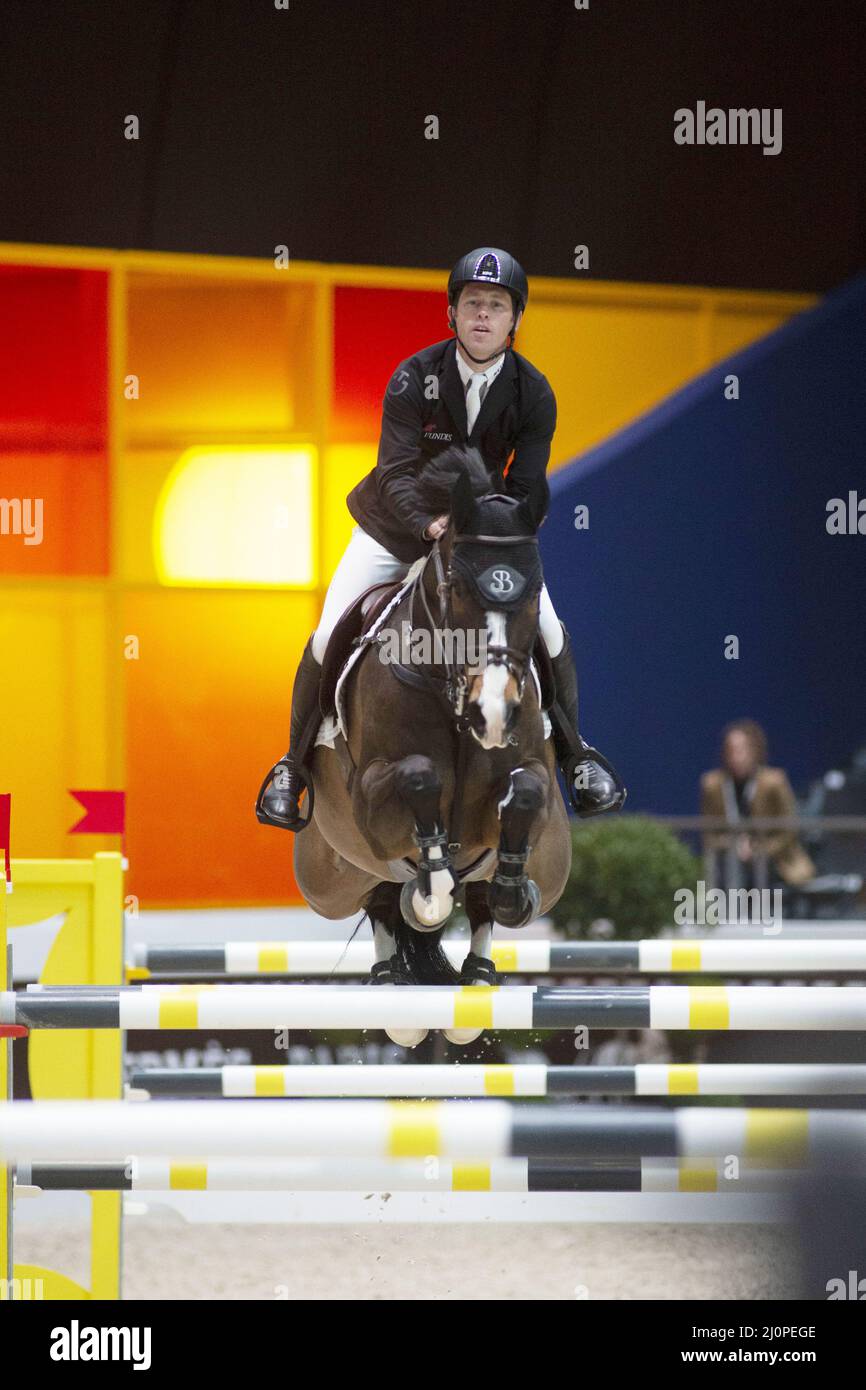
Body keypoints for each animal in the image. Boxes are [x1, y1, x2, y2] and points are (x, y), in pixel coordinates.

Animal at [294, 450, 572, 1045]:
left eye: (532, 594)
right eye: (460, 591)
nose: (493, 712)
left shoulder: (531, 775)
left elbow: (524, 793)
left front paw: (514, 893)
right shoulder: (369, 799)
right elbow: (419, 777)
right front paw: (430, 894)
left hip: (553, 864)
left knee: (479, 902)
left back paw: (480, 975)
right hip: (329, 876)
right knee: (380, 897)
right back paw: (394, 983)